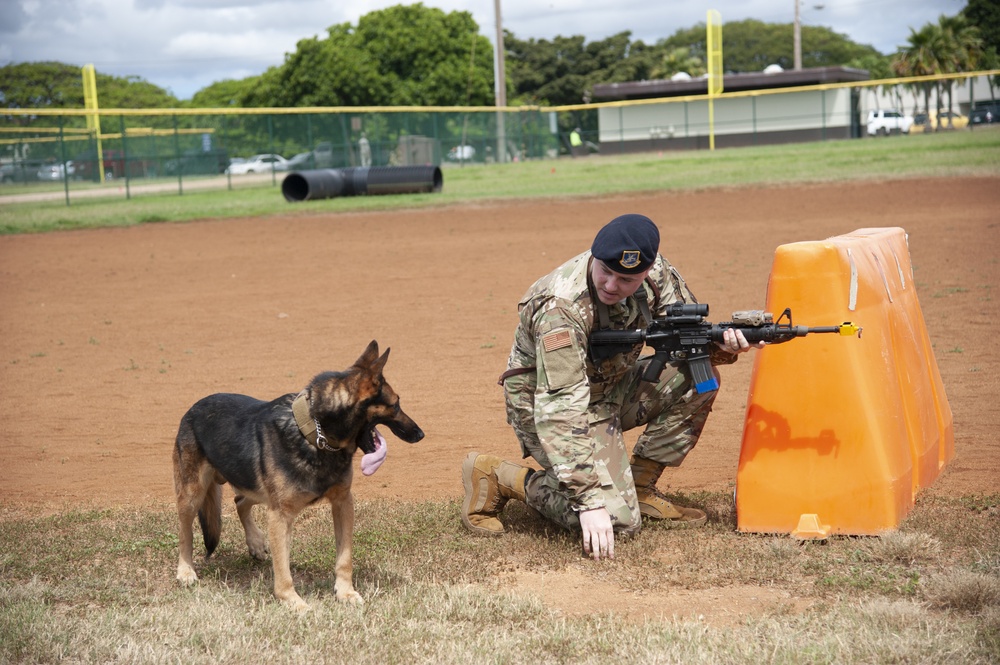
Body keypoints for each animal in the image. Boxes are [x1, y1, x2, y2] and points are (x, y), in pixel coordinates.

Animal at [172, 340, 422, 608]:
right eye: (396, 404)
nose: (420, 434)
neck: (316, 434)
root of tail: (194, 408)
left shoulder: (343, 502)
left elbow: (344, 558)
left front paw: (345, 592)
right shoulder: (281, 516)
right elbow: (283, 568)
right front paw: (293, 601)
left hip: (254, 489)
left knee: (240, 501)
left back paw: (255, 543)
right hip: (192, 494)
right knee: (185, 533)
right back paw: (185, 571)